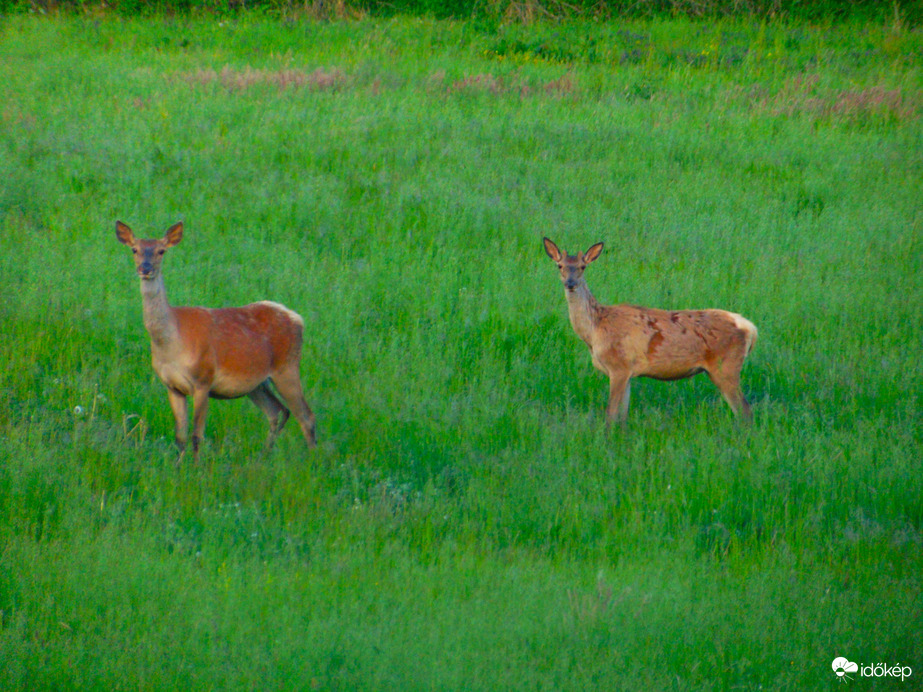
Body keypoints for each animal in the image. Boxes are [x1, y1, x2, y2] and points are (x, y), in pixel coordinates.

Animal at [116, 220, 318, 460]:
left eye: (161, 251)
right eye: (134, 249)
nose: (145, 269)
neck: (172, 343)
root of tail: (297, 319)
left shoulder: (203, 380)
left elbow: (197, 436)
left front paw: (195, 467)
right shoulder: (172, 386)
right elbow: (180, 437)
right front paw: (177, 466)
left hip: (287, 367)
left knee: (306, 416)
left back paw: (313, 460)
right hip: (257, 383)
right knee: (278, 411)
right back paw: (264, 456)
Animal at [540, 239, 756, 428]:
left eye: (583, 267)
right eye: (560, 266)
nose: (570, 283)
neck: (594, 332)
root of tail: (750, 328)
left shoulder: (618, 365)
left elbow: (610, 415)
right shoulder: (627, 372)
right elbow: (622, 417)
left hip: (726, 366)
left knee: (745, 412)